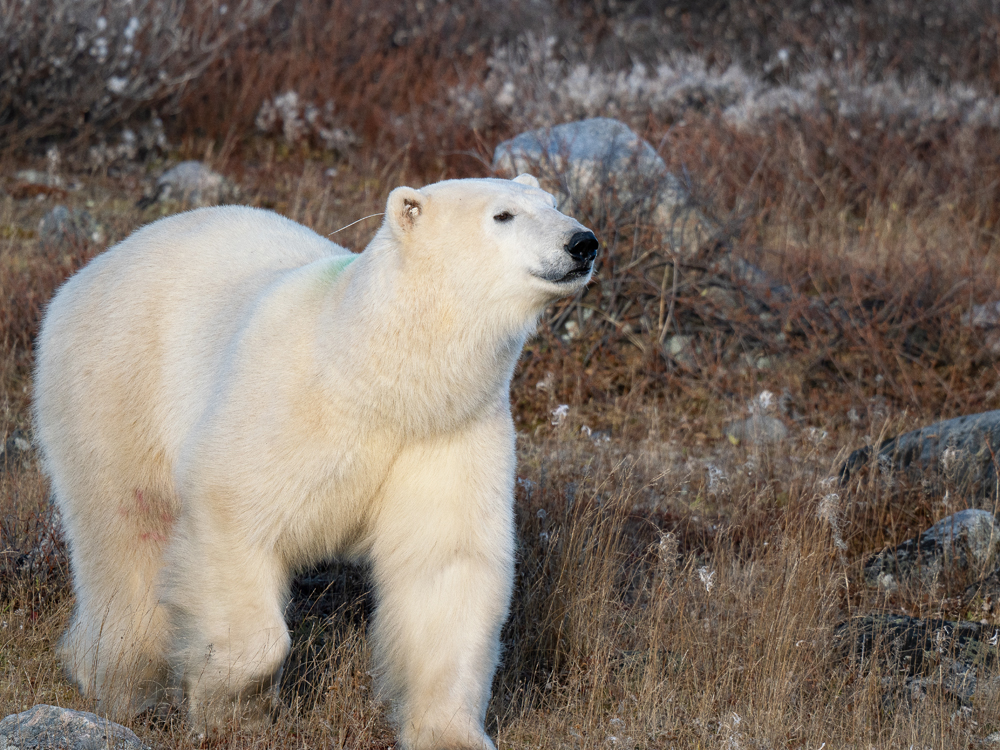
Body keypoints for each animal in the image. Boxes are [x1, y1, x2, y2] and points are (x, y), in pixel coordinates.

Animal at [32, 174, 599, 749]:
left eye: (554, 203)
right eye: (503, 215)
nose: (583, 243)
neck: (372, 373)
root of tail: (93, 268)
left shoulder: (447, 433)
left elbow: (446, 566)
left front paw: (450, 734)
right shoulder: (285, 406)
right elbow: (234, 519)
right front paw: (230, 710)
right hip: (115, 388)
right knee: (127, 532)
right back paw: (121, 679)